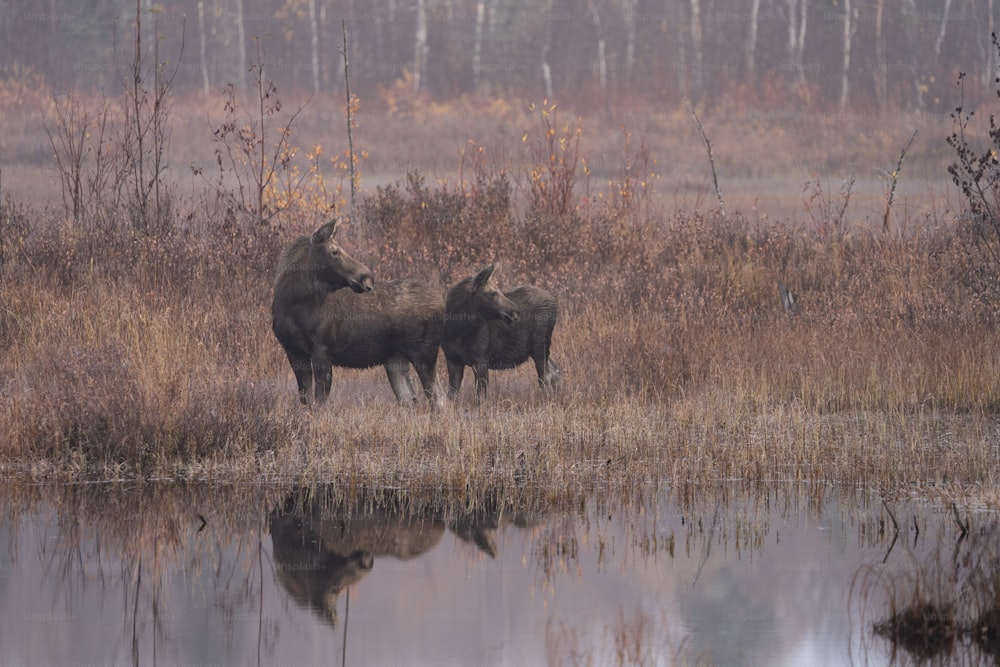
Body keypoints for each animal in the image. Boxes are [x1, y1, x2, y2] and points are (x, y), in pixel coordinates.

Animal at [274, 222, 446, 404]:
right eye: (334, 251)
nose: (368, 277)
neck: (293, 306)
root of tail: (442, 304)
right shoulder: (293, 350)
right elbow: (306, 398)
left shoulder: (322, 349)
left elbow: (320, 399)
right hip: (395, 359)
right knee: (409, 398)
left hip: (424, 353)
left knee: (439, 398)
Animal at [442, 264, 560, 402]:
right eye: (492, 293)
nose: (516, 312)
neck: (456, 332)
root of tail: (555, 302)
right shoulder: (453, 360)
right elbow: (452, 395)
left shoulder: (481, 361)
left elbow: (480, 398)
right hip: (539, 350)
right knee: (554, 372)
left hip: (541, 347)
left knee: (545, 378)